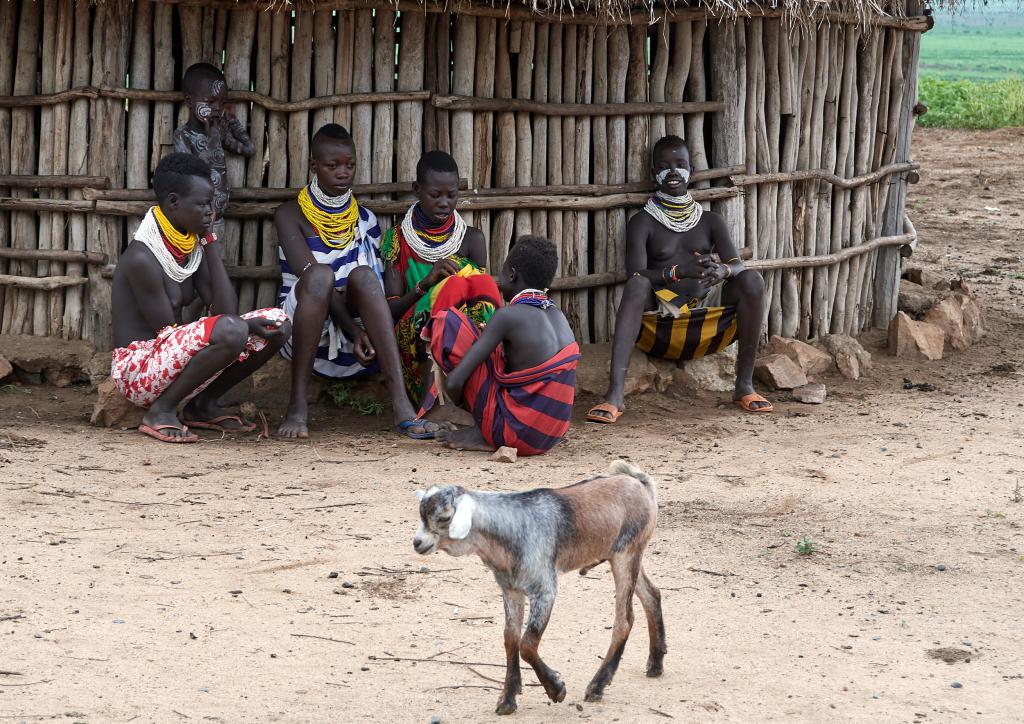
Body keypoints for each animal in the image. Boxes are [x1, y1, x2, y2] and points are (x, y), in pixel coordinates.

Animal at [411, 458, 667, 712]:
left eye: (444, 518)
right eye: (422, 516)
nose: (417, 543)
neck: (510, 531)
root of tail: (639, 482)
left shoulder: (544, 590)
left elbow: (527, 643)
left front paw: (556, 689)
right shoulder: (511, 590)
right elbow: (510, 638)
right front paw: (508, 698)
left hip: (626, 553)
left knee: (624, 619)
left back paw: (597, 685)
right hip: (625, 556)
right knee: (652, 594)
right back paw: (656, 663)